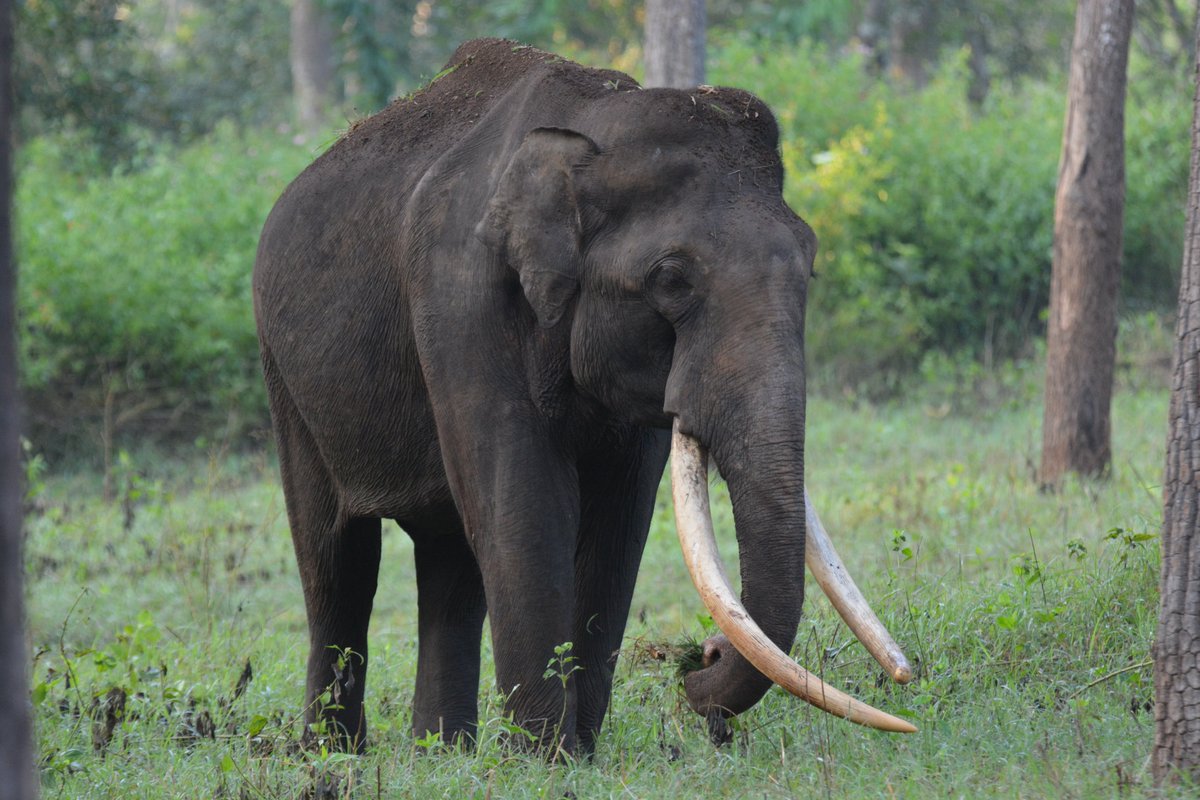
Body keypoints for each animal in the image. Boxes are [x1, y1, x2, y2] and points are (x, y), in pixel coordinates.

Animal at [253, 38, 914, 755]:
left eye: (810, 266)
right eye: (671, 279)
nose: (700, 661)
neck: (591, 125)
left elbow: (617, 516)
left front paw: (579, 754)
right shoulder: (460, 302)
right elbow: (528, 506)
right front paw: (544, 758)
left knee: (449, 560)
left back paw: (443, 751)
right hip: (284, 378)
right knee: (337, 558)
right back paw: (333, 753)